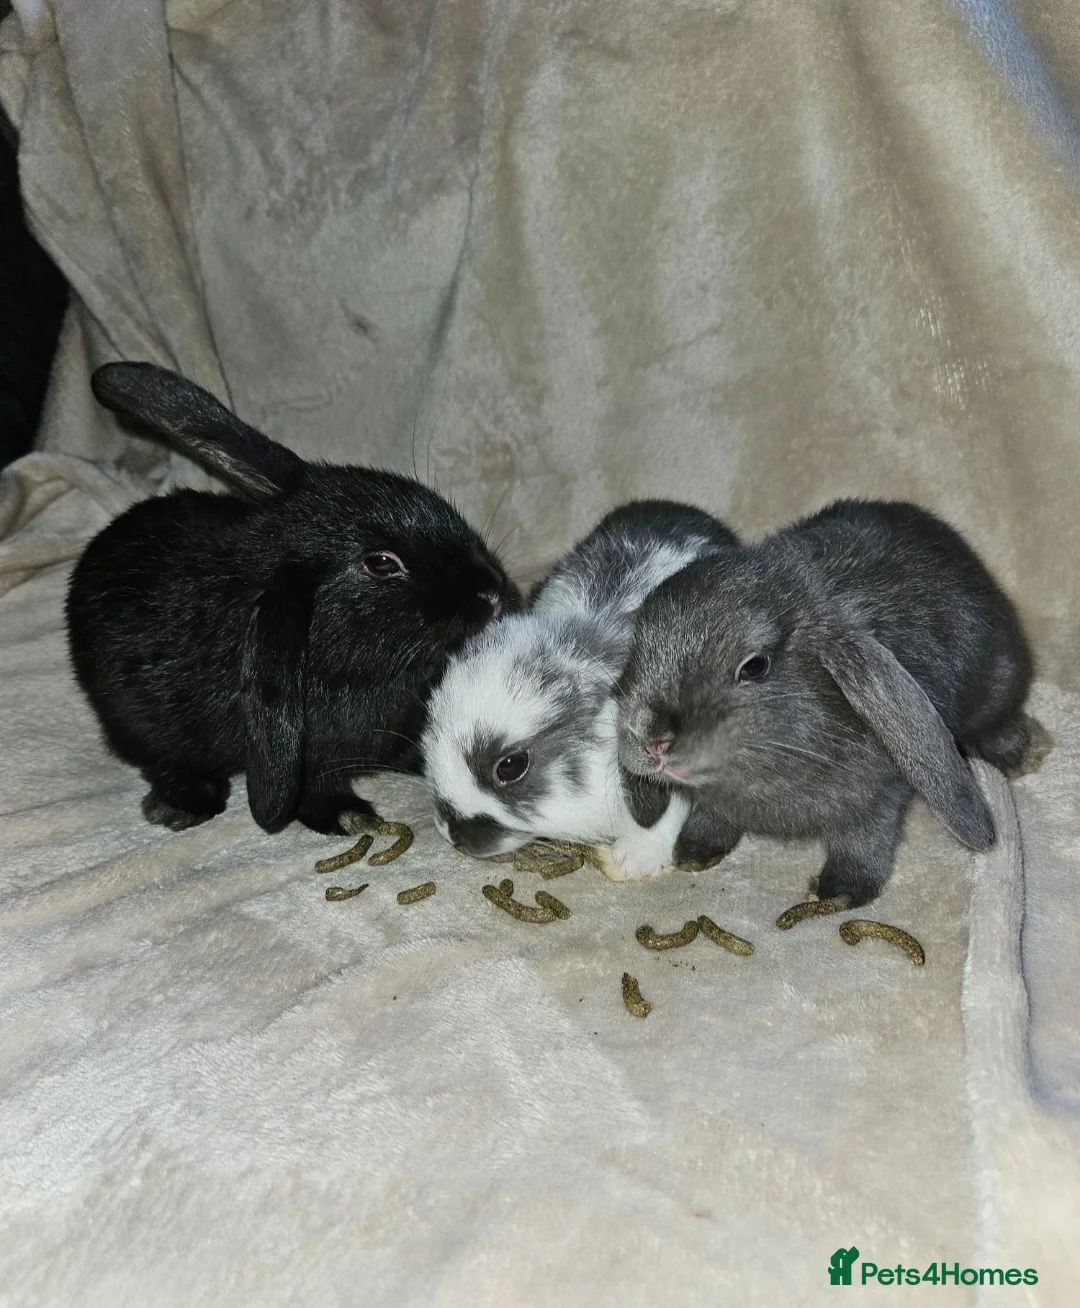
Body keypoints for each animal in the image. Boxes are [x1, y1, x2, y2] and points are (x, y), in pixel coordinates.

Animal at [66, 361, 520, 835]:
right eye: (381, 563)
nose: (492, 591)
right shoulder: (311, 761)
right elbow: (314, 792)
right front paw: (351, 817)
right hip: (133, 720)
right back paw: (186, 803)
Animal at [617, 498, 1034, 906]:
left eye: (754, 666)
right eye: (638, 647)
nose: (650, 739)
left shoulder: (879, 797)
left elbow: (865, 839)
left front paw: (839, 892)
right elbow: (712, 818)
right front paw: (692, 853)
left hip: (997, 684)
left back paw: (1017, 753)